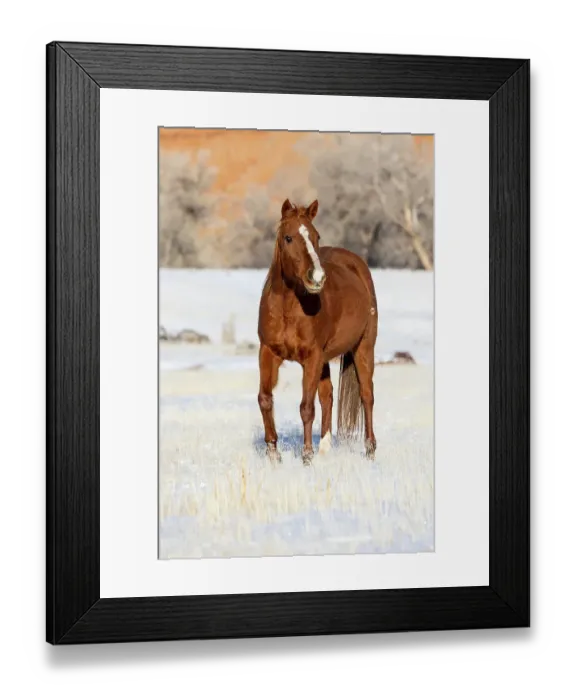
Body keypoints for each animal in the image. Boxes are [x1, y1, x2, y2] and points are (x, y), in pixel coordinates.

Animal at [257, 198, 378, 464]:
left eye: (316, 236)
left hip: (363, 348)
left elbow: (306, 407)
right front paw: (273, 453)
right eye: (288, 238)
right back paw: (324, 447)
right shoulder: (268, 352)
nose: (317, 277)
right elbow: (265, 399)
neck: (288, 308)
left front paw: (307, 456)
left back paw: (370, 450)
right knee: (328, 395)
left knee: (367, 395)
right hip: (325, 359)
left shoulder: (311, 357)